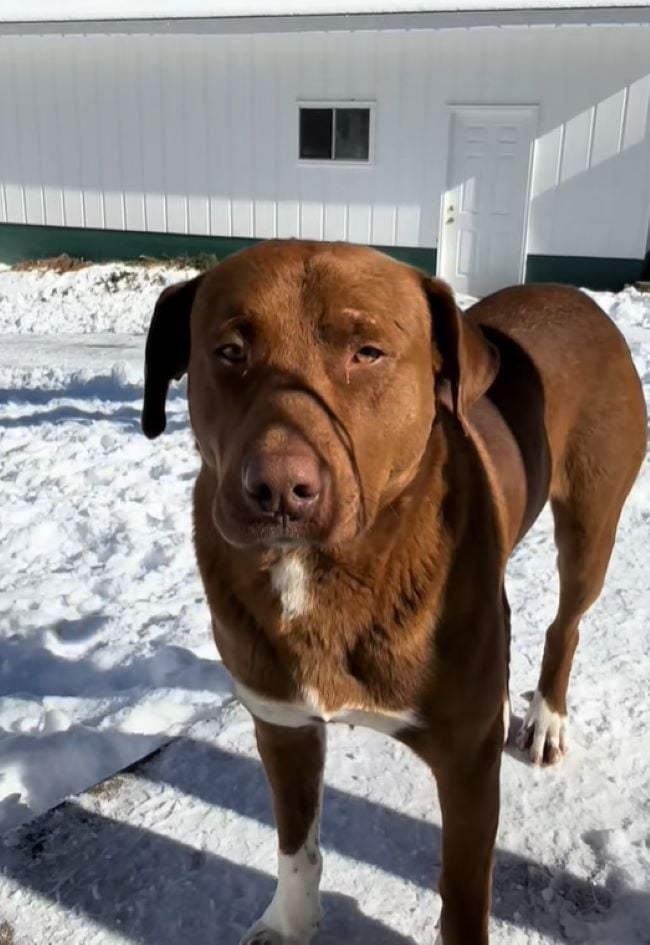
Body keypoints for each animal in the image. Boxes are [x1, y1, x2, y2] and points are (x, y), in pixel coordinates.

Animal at [140, 242, 644, 944]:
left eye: (369, 352)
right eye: (230, 350)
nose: (278, 489)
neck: (325, 574)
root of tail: (575, 296)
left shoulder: (467, 760)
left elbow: (463, 896)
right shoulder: (282, 724)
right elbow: (296, 844)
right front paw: (290, 921)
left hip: (592, 521)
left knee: (565, 622)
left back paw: (546, 718)